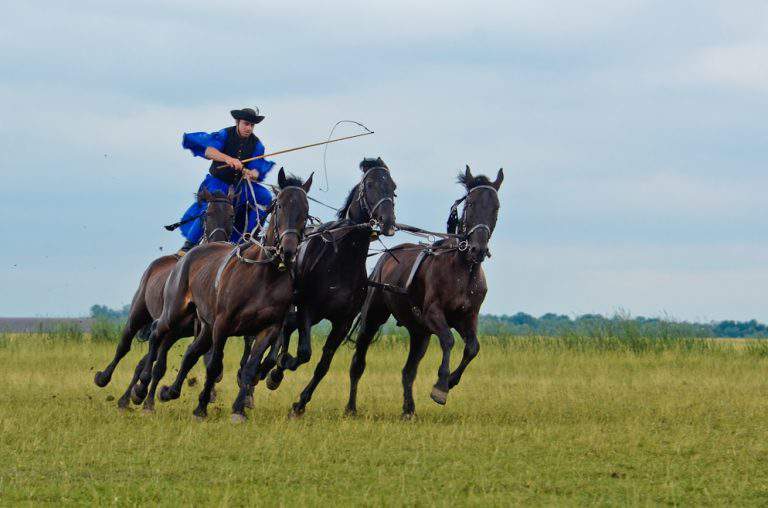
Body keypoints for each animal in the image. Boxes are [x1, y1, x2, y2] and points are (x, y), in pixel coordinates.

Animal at [260, 158, 400, 416]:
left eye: (393, 187)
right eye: (370, 185)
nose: (388, 223)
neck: (342, 257)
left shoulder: (342, 321)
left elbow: (323, 364)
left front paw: (300, 403)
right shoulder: (308, 308)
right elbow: (304, 353)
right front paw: (280, 368)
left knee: (288, 326)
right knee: (286, 329)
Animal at [344, 166, 500, 416]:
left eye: (496, 207)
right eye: (471, 204)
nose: (478, 249)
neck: (462, 272)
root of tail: (386, 257)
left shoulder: (467, 317)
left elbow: (472, 347)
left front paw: (451, 381)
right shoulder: (433, 314)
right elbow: (448, 340)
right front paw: (441, 386)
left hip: (420, 333)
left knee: (408, 371)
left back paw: (408, 410)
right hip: (374, 318)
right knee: (358, 362)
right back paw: (351, 407)